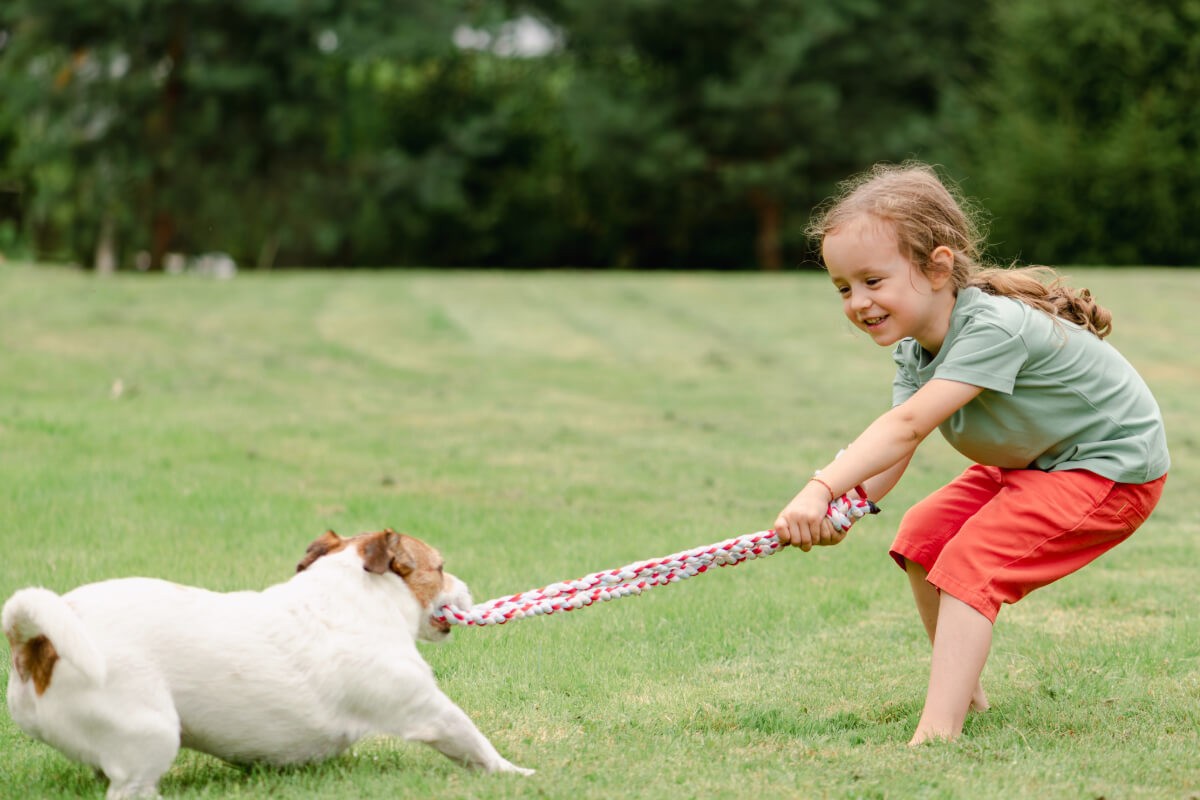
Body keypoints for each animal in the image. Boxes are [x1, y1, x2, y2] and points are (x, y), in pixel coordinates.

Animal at [2, 527, 532, 796]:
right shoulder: (428, 709)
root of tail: (38, 645)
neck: (351, 599)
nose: (468, 589)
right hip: (150, 735)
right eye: (439, 568)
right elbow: (477, 744)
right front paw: (519, 775)